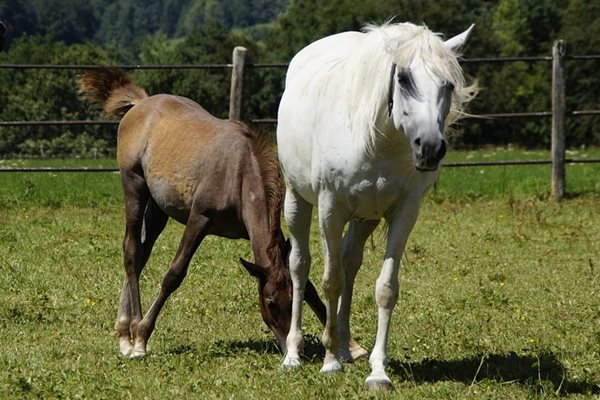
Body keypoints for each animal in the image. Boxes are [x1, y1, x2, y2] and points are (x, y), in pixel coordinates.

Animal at [276, 22, 478, 390]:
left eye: (449, 84)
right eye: (404, 79)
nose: (430, 148)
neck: (378, 142)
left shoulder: (404, 213)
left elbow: (385, 289)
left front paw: (377, 371)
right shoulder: (330, 210)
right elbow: (330, 281)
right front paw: (328, 362)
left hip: (364, 219)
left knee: (350, 263)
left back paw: (344, 348)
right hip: (297, 200)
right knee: (299, 266)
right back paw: (294, 354)